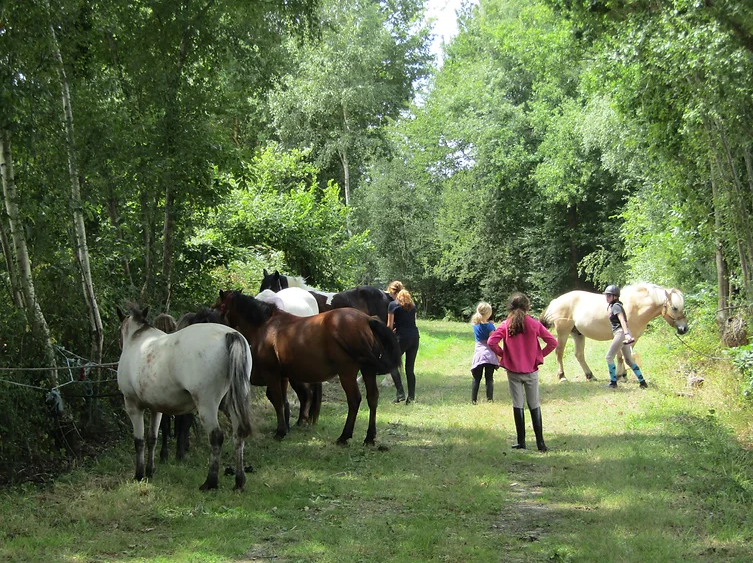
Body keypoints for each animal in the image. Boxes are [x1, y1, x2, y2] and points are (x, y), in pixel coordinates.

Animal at [116, 302, 253, 492]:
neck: (138, 340)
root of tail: (229, 334)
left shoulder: (133, 406)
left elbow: (139, 441)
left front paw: (139, 474)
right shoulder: (156, 408)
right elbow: (152, 439)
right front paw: (150, 471)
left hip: (207, 405)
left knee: (216, 437)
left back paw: (210, 482)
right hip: (231, 403)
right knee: (238, 434)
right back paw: (239, 481)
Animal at [214, 290, 402, 446]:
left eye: (218, 306)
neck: (267, 325)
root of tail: (366, 320)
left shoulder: (272, 374)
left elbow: (276, 399)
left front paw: (280, 431)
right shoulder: (282, 375)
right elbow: (281, 401)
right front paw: (285, 427)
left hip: (347, 373)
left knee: (354, 400)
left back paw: (344, 436)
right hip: (367, 370)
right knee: (372, 398)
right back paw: (369, 437)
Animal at [540, 284, 688, 382]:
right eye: (674, 308)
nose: (684, 329)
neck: (636, 306)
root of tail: (556, 301)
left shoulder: (631, 339)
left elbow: (623, 357)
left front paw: (622, 375)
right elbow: (621, 357)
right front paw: (620, 376)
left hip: (577, 334)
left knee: (579, 355)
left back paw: (590, 375)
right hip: (563, 332)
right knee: (559, 353)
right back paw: (562, 376)